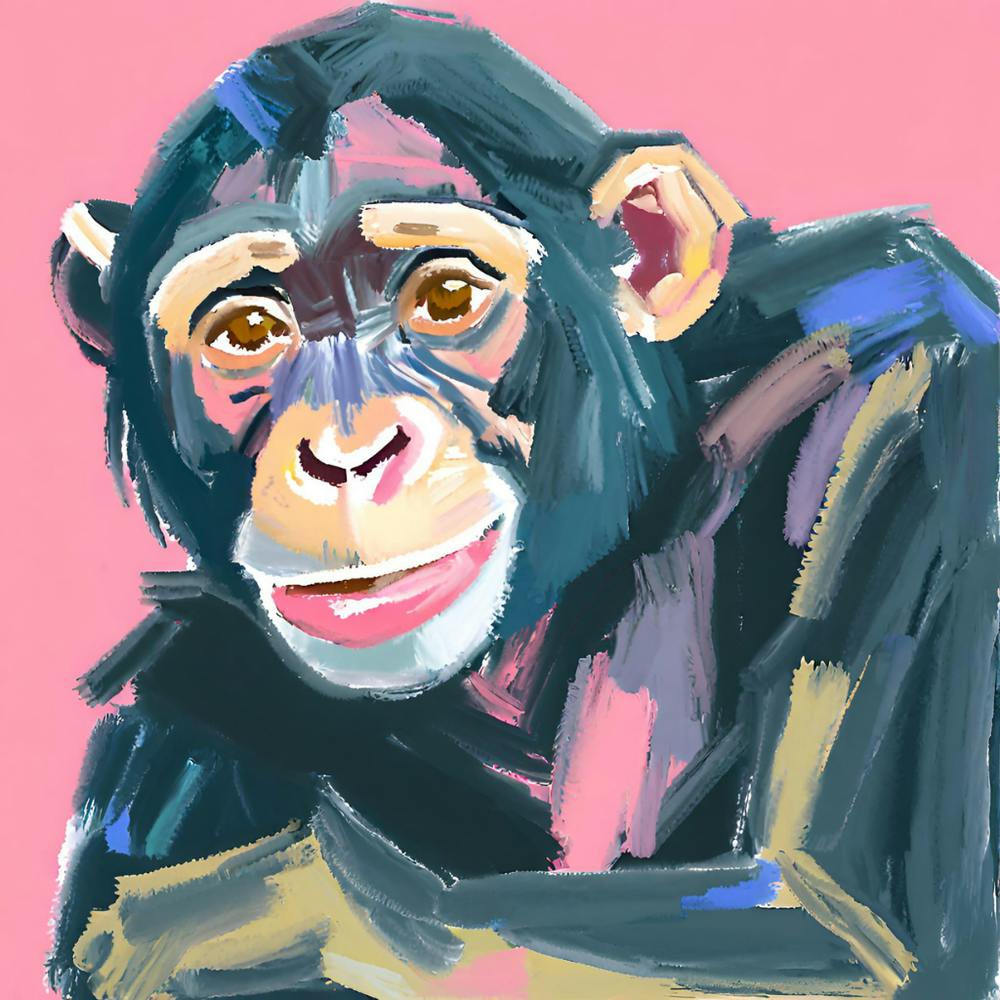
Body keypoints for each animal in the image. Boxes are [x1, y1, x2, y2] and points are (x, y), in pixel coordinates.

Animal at [47, 4, 999, 999]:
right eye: (246, 330)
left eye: (445, 295)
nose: (348, 450)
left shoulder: (911, 380)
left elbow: (838, 929)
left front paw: (214, 920)